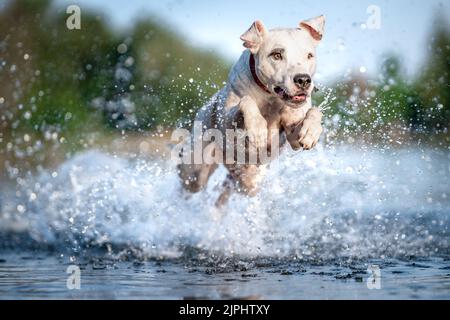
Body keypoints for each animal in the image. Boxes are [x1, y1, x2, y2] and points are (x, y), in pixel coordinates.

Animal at [178, 15, 326, 205]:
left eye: (309, 55)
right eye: (277, 55)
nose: (303, 80)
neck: (270, 97)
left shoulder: (293, 133)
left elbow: (314, 112)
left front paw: (311, 132)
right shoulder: (227, 118)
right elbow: (246, 101)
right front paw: (257, 128)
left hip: (245, 182)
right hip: (196, 169)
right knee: (189, 181)